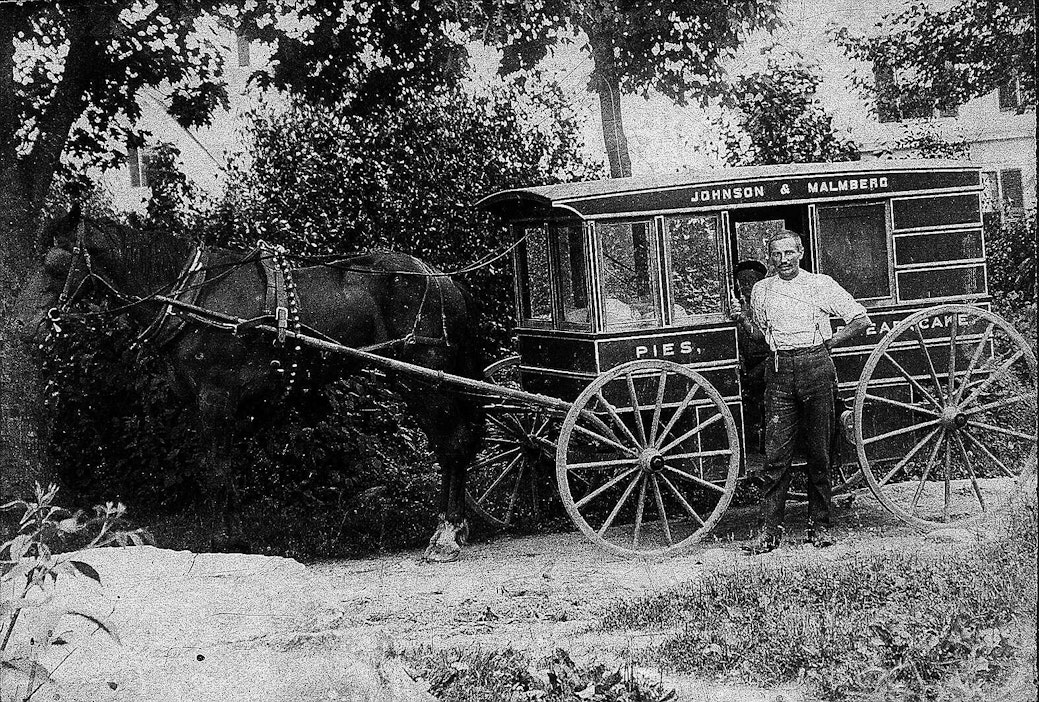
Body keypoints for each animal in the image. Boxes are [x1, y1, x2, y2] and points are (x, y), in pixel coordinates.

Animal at [32, 205, 484, 560]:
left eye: (54, 262)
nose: (30, 326)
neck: (195, 296)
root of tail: (442, 277)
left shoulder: (216, 398)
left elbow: (217, 470)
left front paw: (222, 542)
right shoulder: (218, 406)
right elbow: (225, 469)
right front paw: (235, 538)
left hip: (426, 381)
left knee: (453, 443)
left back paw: (447, 533)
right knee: (451, 446)